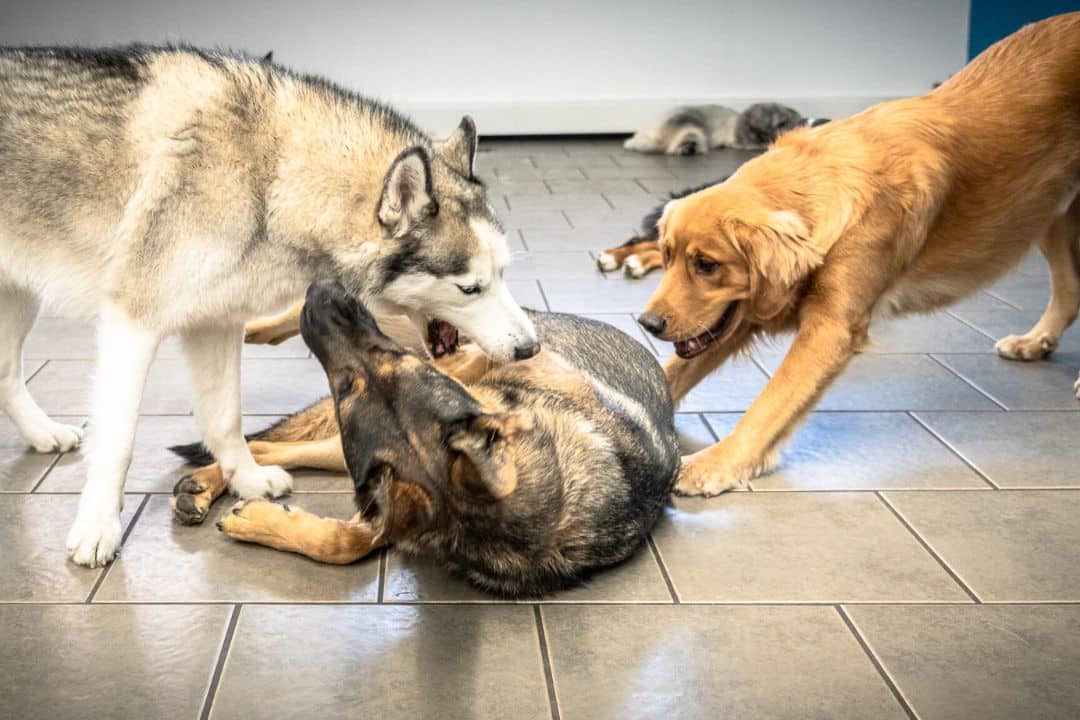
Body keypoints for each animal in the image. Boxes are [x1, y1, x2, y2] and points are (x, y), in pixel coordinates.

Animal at [0, 46, 540, 569]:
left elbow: (225, 419)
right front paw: (98, 528)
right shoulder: (132, 323)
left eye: (503, 274)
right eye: (469, 288)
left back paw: (43, 434)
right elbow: (117, 441)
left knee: (7, 374)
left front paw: (248, 481)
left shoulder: (215, 322)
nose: (530, 348)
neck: (267, 175)